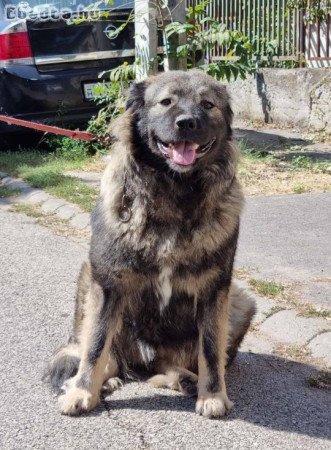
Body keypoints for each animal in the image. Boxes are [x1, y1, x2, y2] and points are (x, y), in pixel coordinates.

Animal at [47, 69, 256, 418]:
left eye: (207, 104)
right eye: (166, 102)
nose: (187, 122)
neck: (175, 194)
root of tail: (140, 361)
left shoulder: (215, 289)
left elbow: (211, 350)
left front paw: (213, 395)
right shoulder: (108, 282)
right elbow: (95, 345)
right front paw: (81, 391)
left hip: (242, 303)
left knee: (165, 365)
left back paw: (186, 379)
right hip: (88, 277)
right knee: (106, 355)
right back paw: (101, 381)